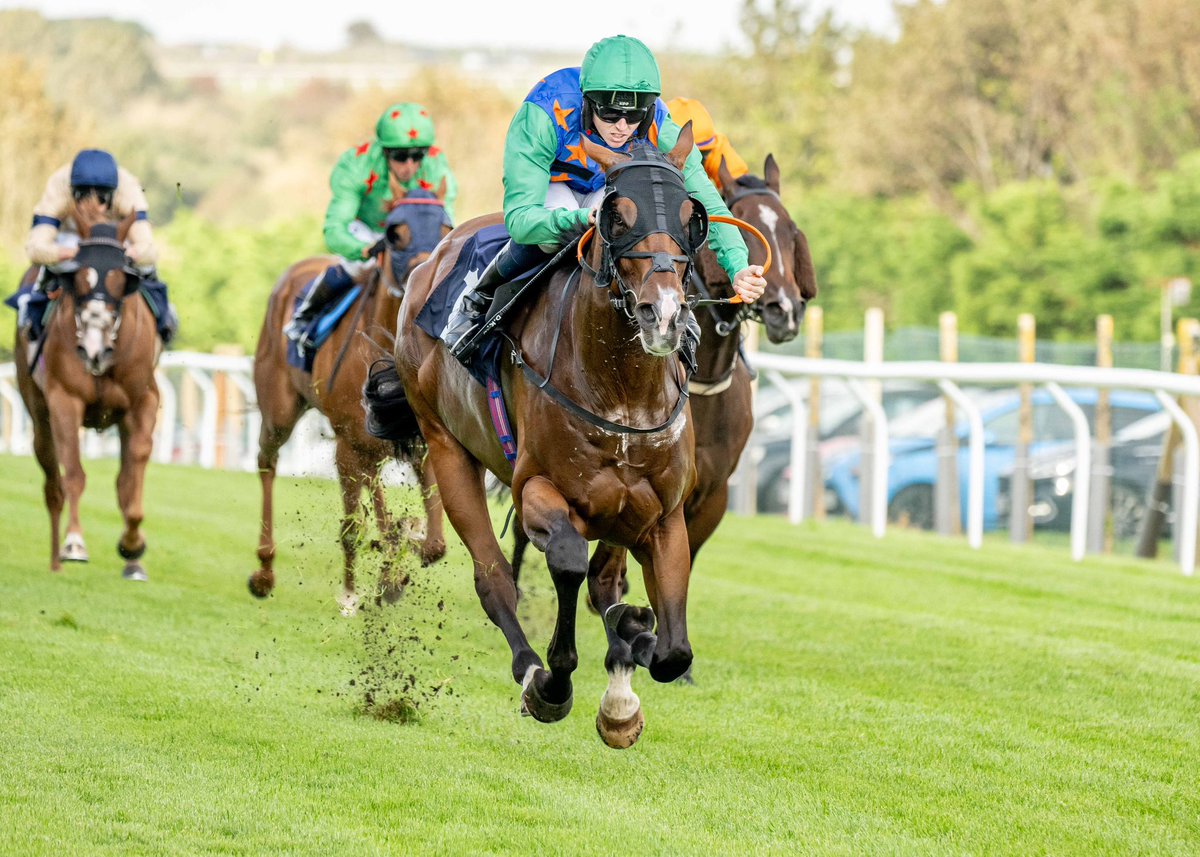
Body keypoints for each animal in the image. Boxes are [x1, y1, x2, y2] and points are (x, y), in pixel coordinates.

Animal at [14, 201, 163, 578]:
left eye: (122, 279)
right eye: (79, 277)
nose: (94, 349)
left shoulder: (143, 401)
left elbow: (131, 477)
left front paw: (133, 547)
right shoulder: (64, 401)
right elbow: (74, 475)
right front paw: (74, 544)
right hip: (38, 413)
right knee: (53, 484)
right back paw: (56, 560)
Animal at [247, 183, 451, 609]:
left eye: (445, 226)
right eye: (394, 233)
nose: (425, 276)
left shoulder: (423, 443)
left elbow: (434, 542)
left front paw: (399, 560)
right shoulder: (353, 443)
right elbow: (366, 523)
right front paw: (373, 582)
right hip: (279, 410)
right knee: (267, 462)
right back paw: (265, 570)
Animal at [379, 128, 705, 748]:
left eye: (690, 215)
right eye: (616, 215)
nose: (664, 315)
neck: (621, 389)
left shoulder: (662, 516)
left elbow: (672, 649)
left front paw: (628, 665)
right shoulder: (538, 490)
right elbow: (569, 564)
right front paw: (556, 681)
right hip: (446, 447)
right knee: (494, 578)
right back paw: (530, 668)